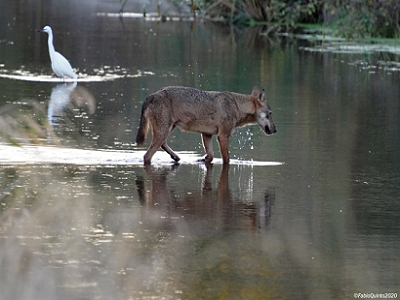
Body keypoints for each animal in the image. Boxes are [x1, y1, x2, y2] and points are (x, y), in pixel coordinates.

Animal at [136, 85, 276, 165]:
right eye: (270, 113)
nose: (275, 130)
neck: (237, 106)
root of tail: (152, 95)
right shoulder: (222, 137)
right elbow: (226, 159)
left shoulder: (207, 134)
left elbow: (211, 156)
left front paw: (202, 159)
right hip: (163, 132)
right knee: (147, 156)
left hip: (168, 130)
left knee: (163, 145)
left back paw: (176, 157)